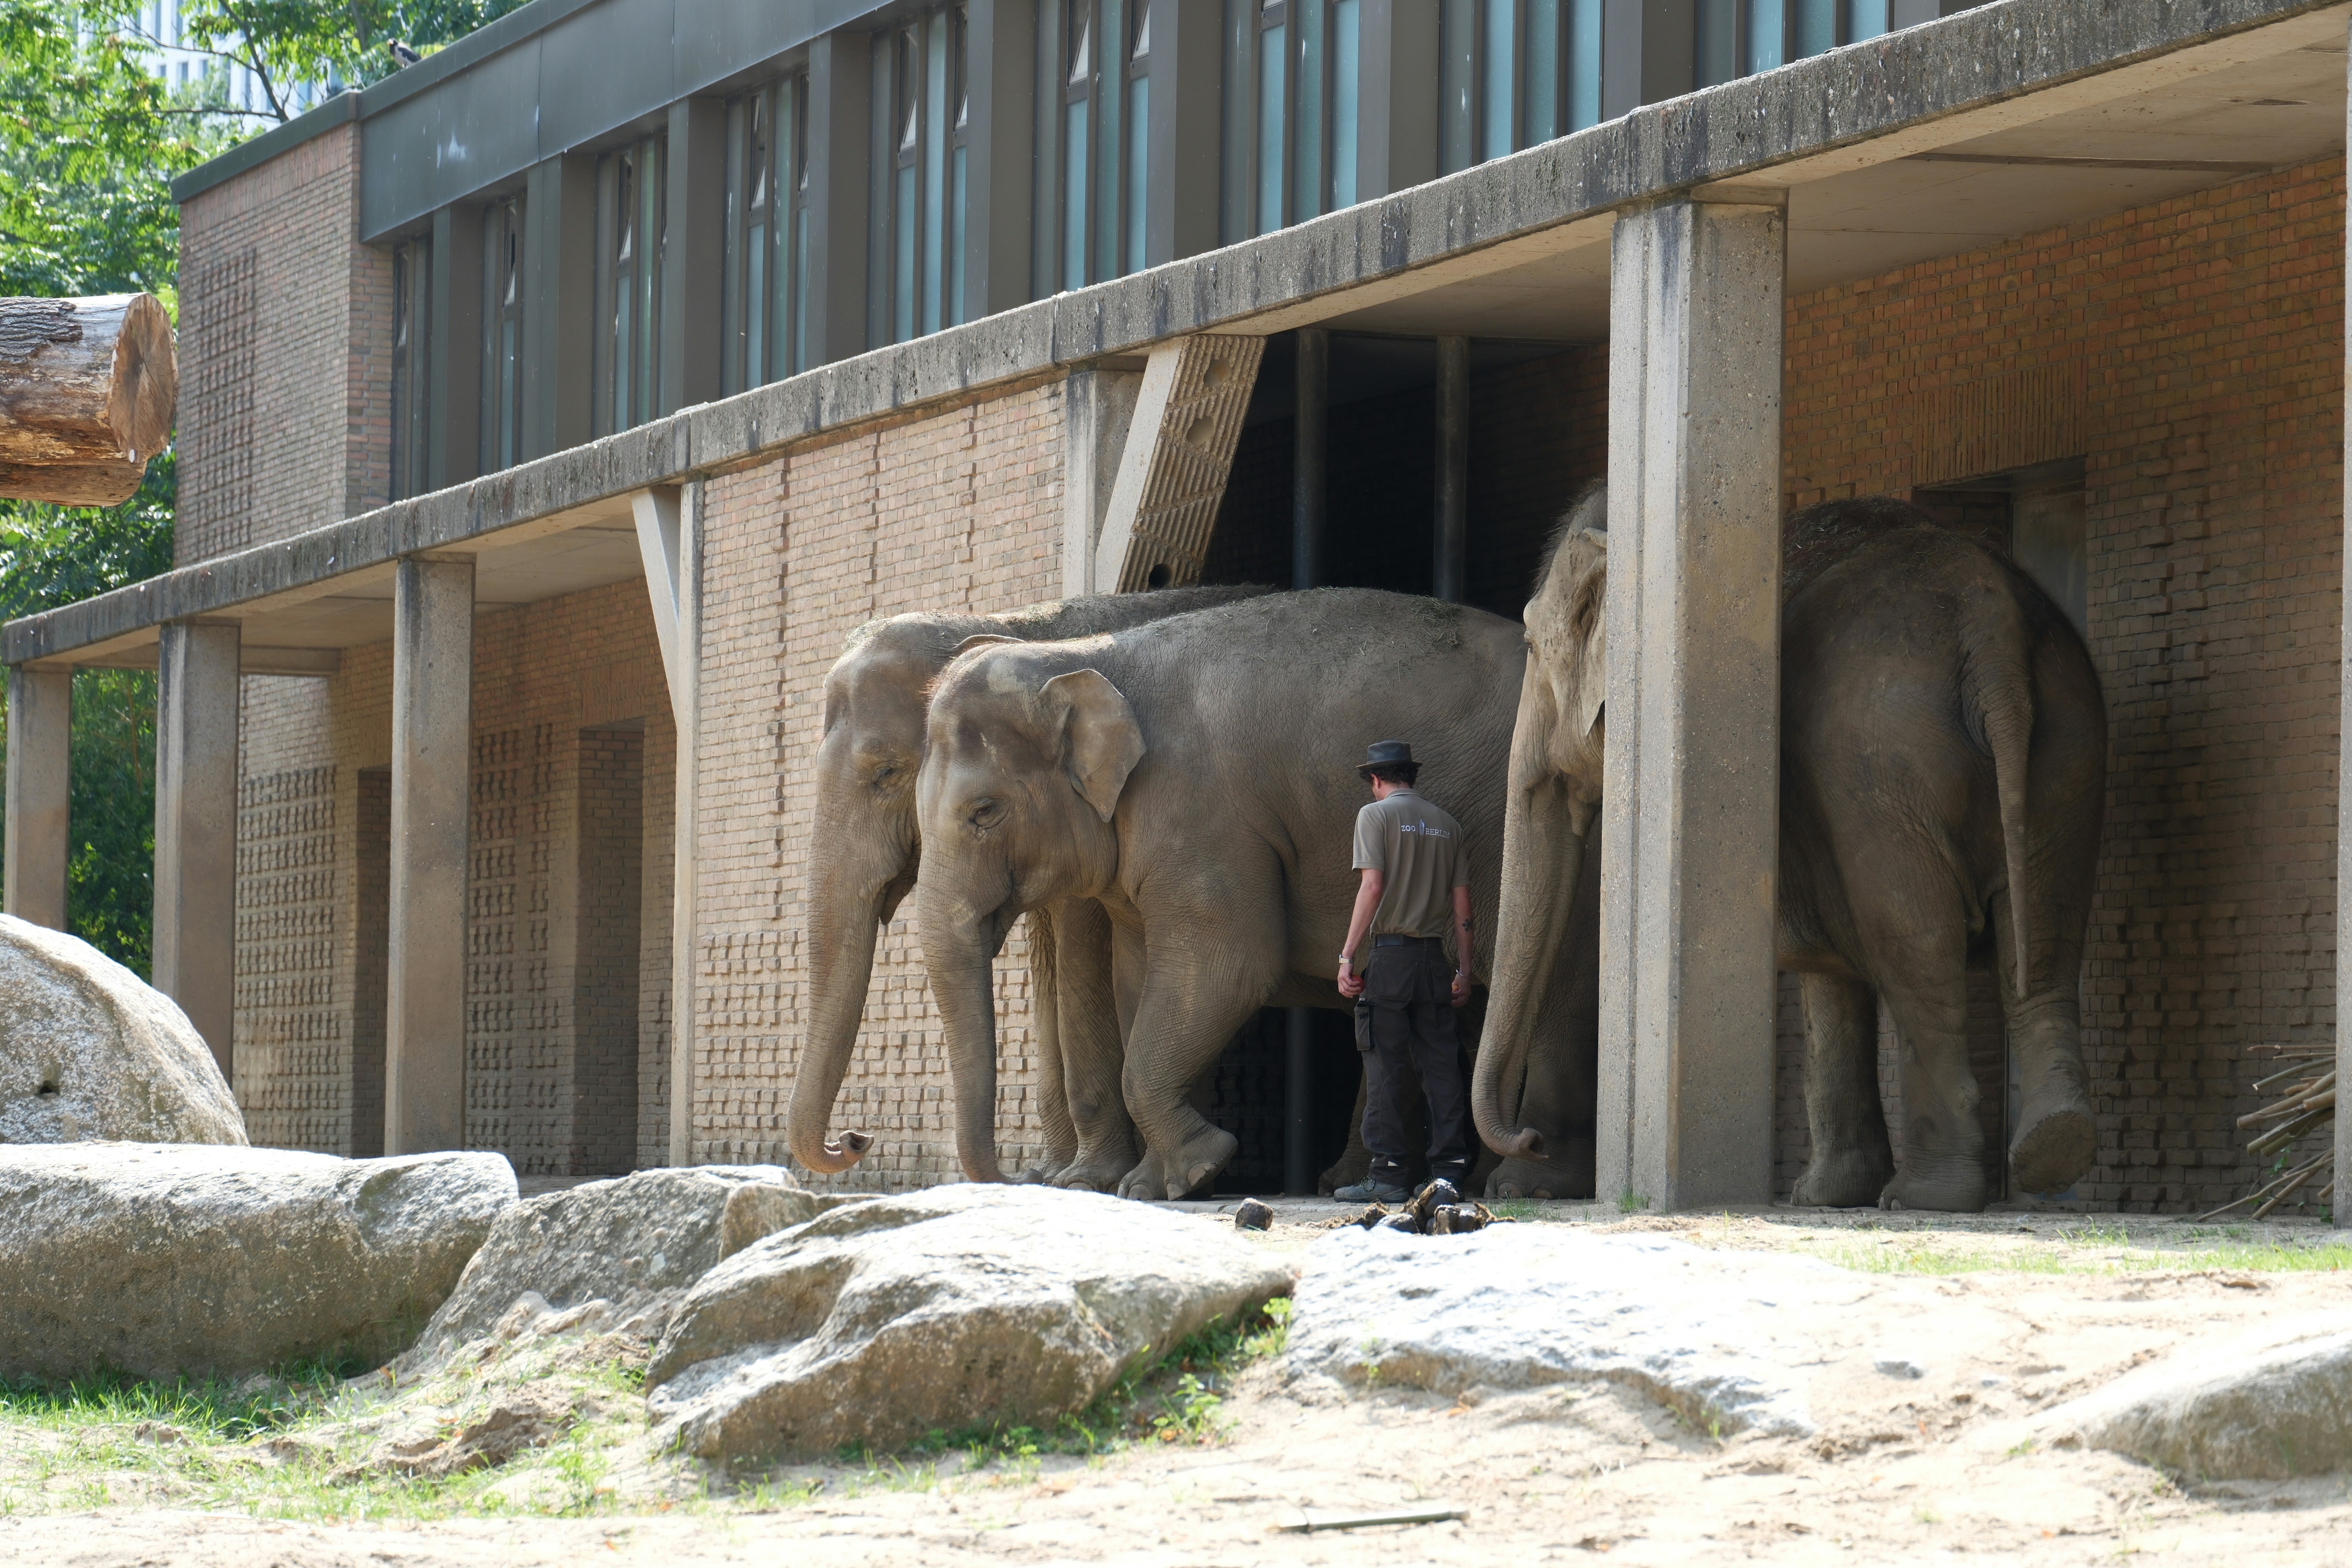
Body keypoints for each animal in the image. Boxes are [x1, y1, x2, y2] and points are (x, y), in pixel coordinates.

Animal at [784, 585, 1269, 1191]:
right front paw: (1059, 1173)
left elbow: (1081, 944)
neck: (1012, 624)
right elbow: (1048, 960)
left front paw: (1082, 1180)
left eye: (887, 773)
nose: (856, 1138)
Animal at [912, 587, 1597, 1201]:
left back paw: (1528, 1180)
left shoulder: (1200, 813)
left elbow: (1229, 967)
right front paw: (1158, 1185)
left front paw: (1199, 1167)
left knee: (1558, 983)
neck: (1088, 657)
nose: (1022, 1178)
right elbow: (1136, 977)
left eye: (984, 811)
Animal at [1473, 488, 2106, 1212]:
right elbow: (1830, 968)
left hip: (1882, 772)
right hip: (2067, 742)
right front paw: (1828, 1196)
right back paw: (2054, 1148)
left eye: (1530, 641)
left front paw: (1820, 1196)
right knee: (2046, 939)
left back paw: (1924, 1196)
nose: (1528, 1140)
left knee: (1917, 948)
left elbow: (1828, 959)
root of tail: (1990, 622)